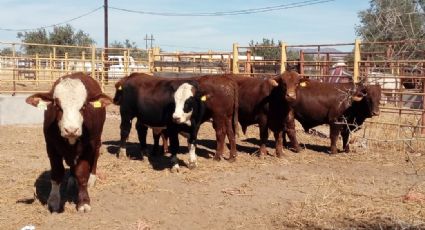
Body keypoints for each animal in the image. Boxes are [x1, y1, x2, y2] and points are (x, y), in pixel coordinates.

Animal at [24, 73, 111, 213]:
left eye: (84, 106)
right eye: (57, 106)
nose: (71, 130)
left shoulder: (87, 148)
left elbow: (82, 174)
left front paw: (83, 202)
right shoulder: (51, 148)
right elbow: (57, 173)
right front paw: (54, 201)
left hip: (97, 138)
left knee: (96, 154)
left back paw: (92, 178)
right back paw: (71, 179)